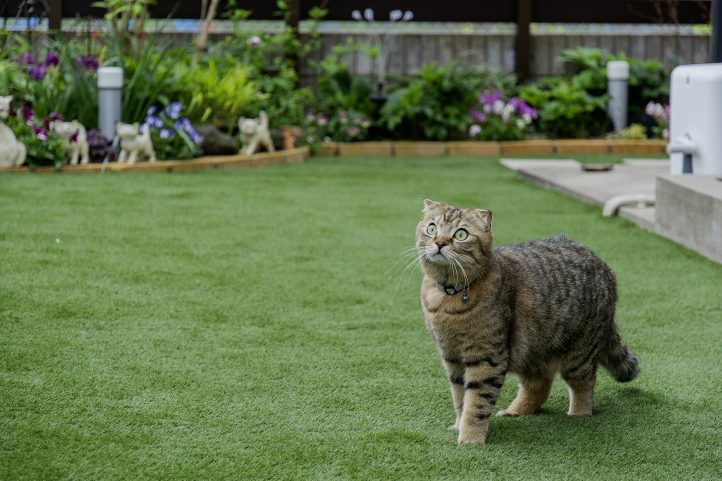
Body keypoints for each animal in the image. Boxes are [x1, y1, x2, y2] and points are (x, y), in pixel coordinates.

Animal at [416, 198, 636, 442]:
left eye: (461, 234)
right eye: (432, 228)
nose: (439, 242)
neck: (449, 297)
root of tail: (605, 268)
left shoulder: (486, 357)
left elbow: (477, 402)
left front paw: (471, 437)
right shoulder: (452, 356)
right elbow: (460, 396)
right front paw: (459, 425)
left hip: (579, 353)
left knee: (584, 385)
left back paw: (578, 414)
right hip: (532, 350)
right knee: (540, 386)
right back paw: (515, 411)